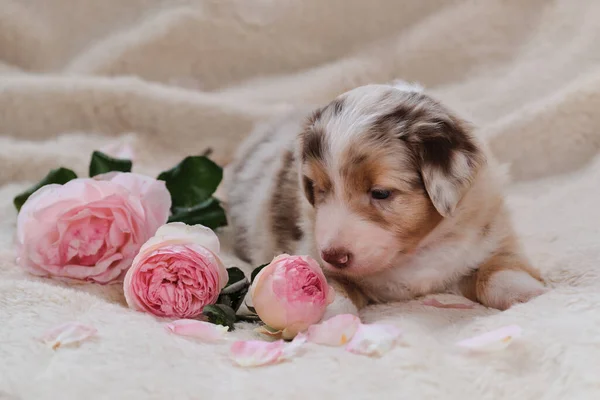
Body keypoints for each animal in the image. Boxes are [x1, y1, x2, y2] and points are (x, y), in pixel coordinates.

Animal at [226, 82, 548, 318]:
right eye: (318, 189)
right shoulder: (311, 249)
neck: (415, 253)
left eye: (380, 193)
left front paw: (531, 292)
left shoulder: (491, 238)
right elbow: (330, 284)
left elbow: (500, 270)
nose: (335, 255)